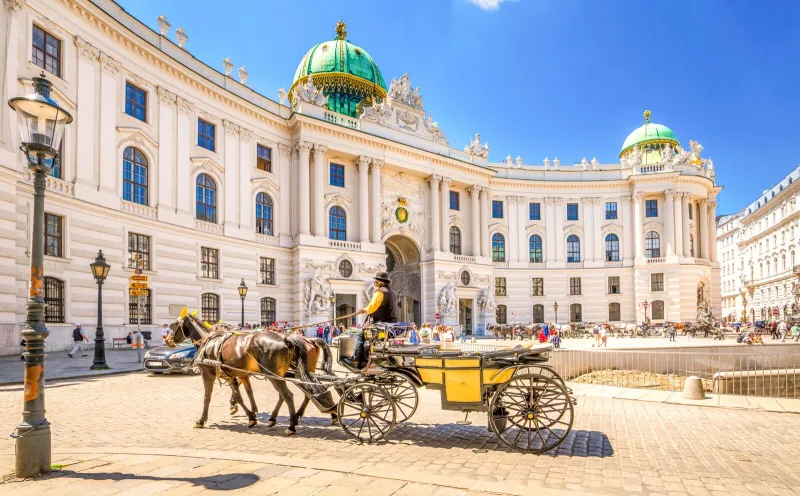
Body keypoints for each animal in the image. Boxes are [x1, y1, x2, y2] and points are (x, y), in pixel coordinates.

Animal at [169, 312, 332, 436]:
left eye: (174, 325)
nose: (168, 339)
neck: (210, 342)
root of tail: (286, 338)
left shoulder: (208, 373)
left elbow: (207, 397)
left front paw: (201, 420)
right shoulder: (235, 375)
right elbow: (243, 395)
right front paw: (251, 415)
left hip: (276, 374)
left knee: (289, 395)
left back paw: (291, 425)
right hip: (285, 374)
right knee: (299, 392)